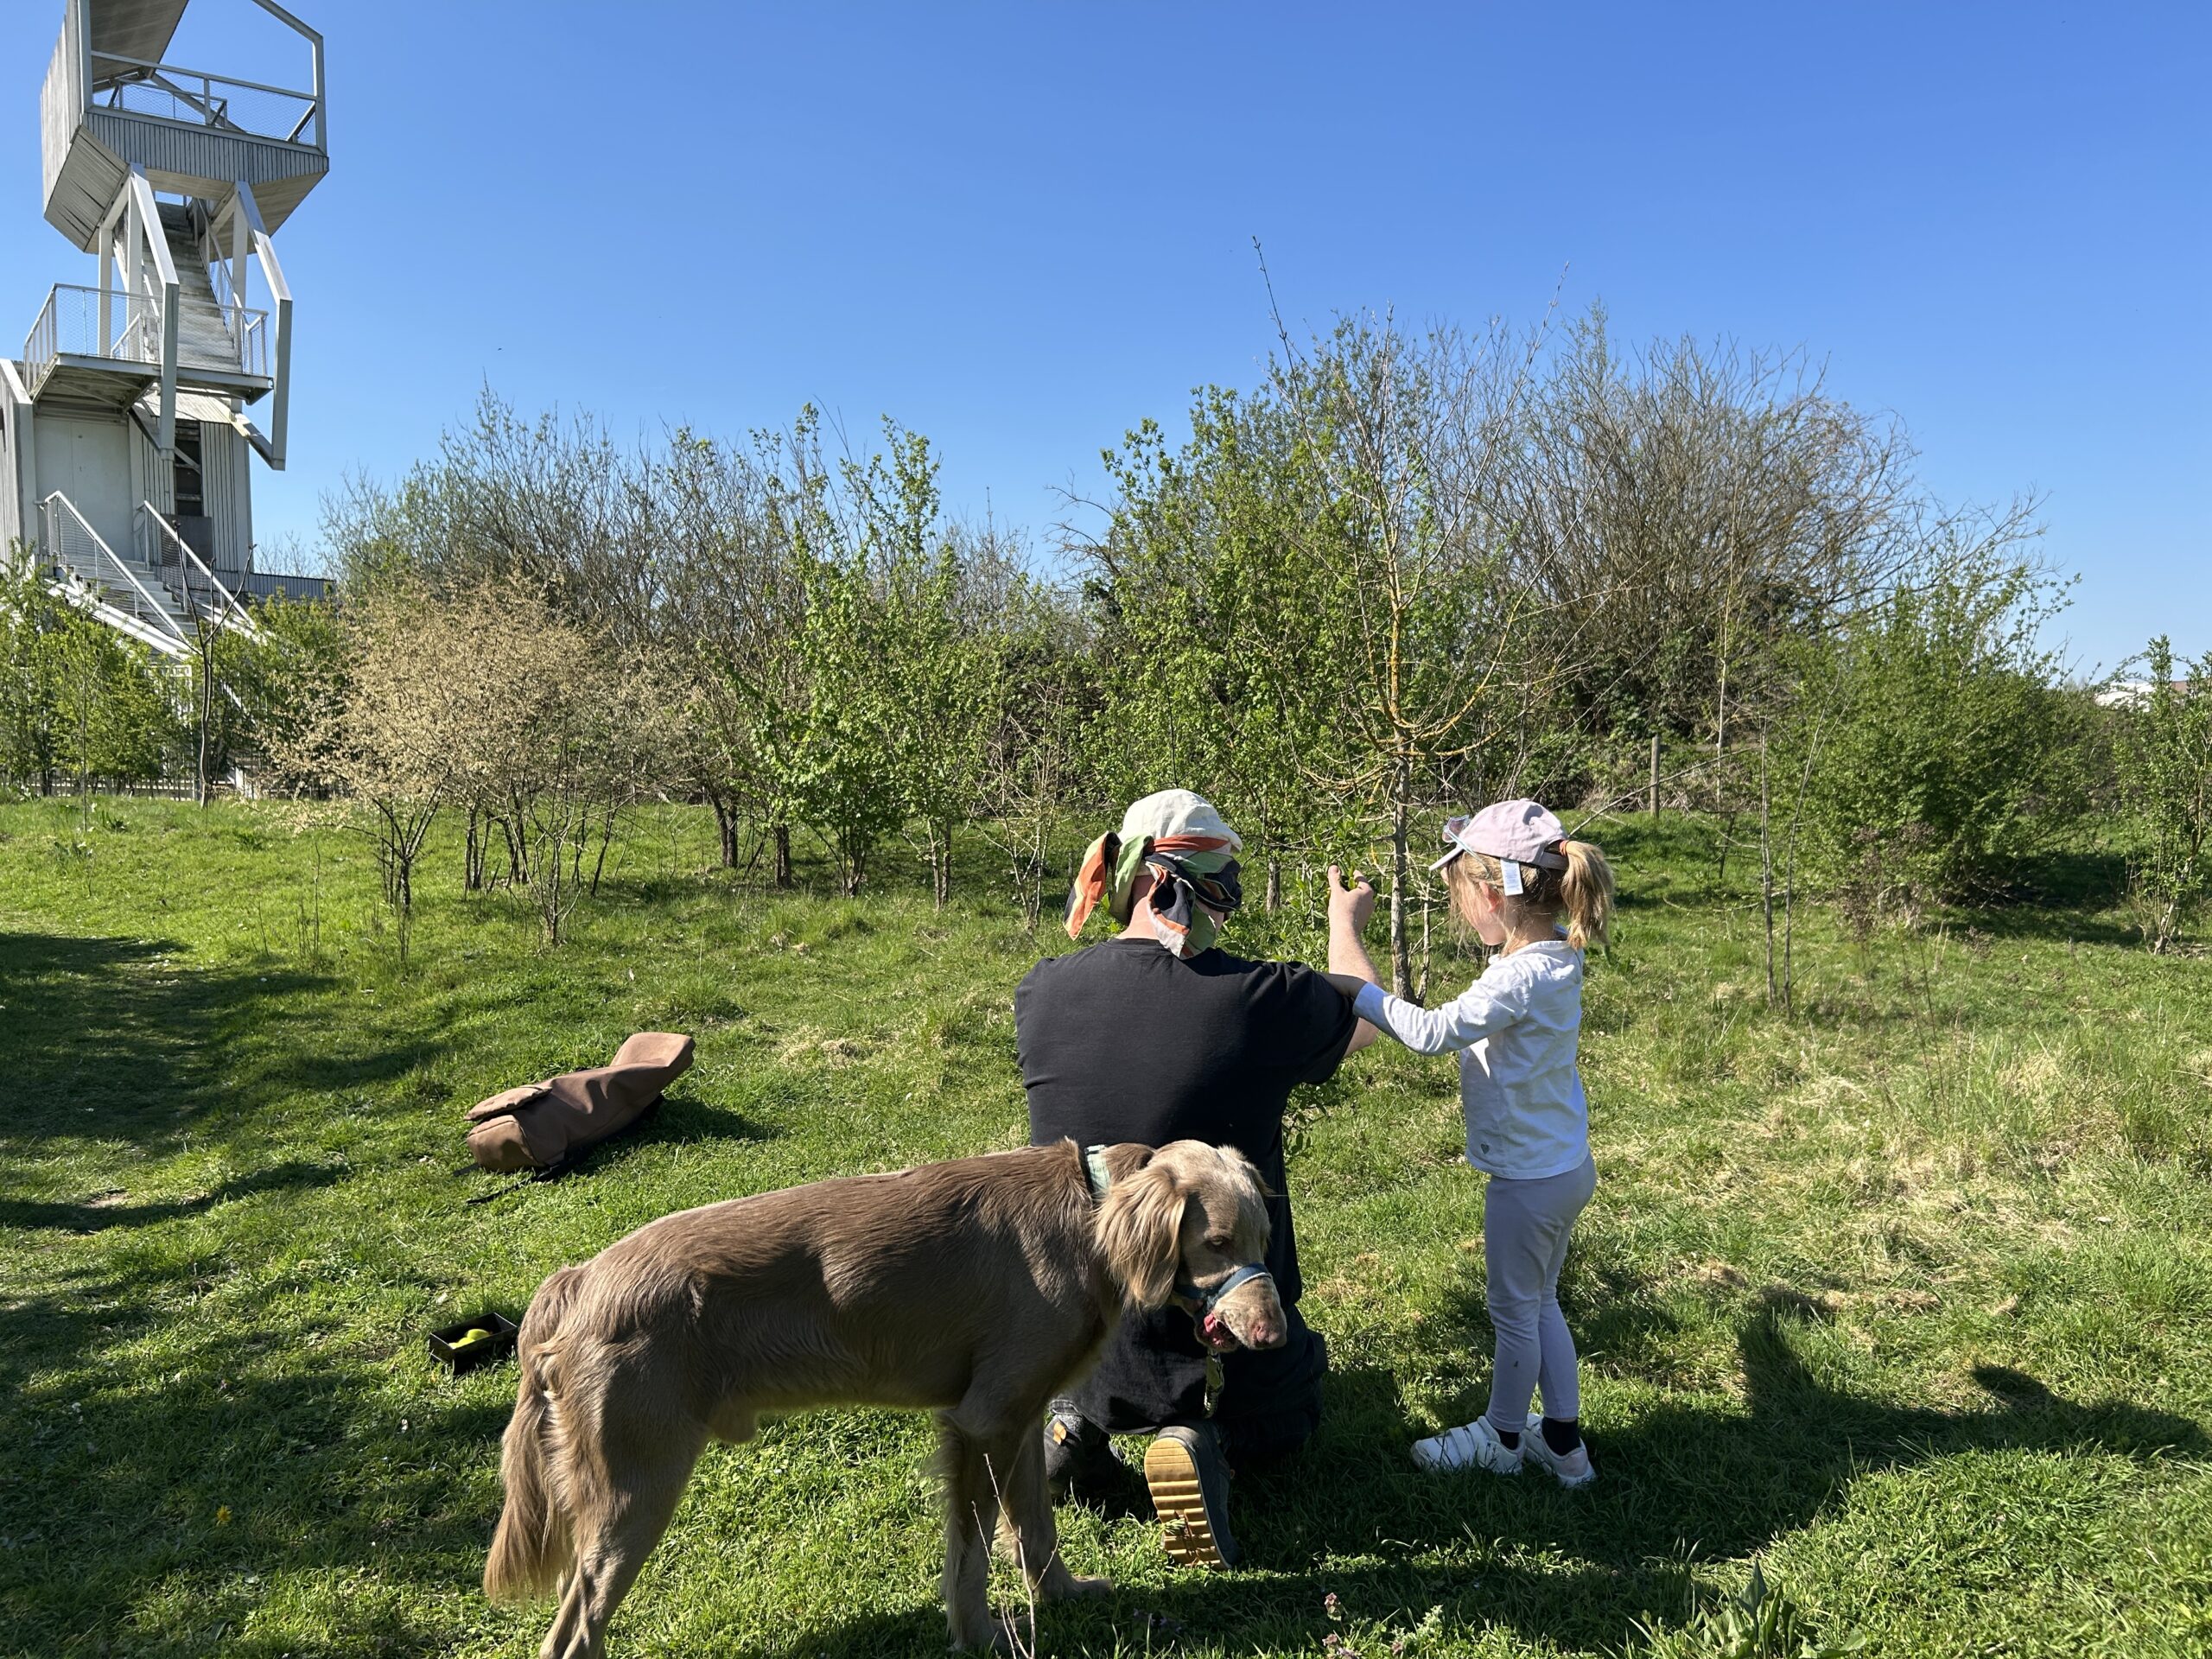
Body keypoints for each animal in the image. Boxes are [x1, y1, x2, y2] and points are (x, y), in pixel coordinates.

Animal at [483, 1138, 1287, 1656]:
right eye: (1215, 1242)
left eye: (1262, 1237)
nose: (1273, 1333)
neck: (1088, 1213)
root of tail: (578, 1280)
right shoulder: (982, 1422)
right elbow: (970, 1559)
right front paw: (981, 1638)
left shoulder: (1021, 1418)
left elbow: (1035, 1527)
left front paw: (1061, 1595)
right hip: (637, 1489)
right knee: (571, 1634)